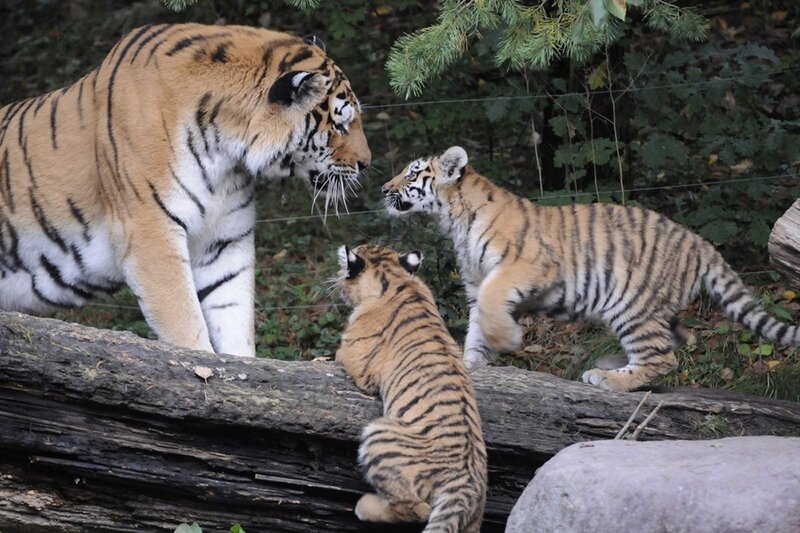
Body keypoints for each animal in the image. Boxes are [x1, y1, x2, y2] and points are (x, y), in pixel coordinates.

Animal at [0, 23, 370, 357]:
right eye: (341, 124)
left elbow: (234, 318)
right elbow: (184, 322)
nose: (366, 163)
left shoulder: (225, 240)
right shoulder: (150, 234)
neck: (225, 154)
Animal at [335, 243, 487, 532]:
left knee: (417, 508)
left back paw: (364, 506)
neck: (395, 277)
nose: (336, 283)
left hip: (380, 435)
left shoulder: (355, 359)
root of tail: (467, 487)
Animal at [381, 146, 800, 392]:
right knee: (679, 338)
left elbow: (491, 304)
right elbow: (477, 321)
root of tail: (700, 243)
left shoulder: (525, 266)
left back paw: (607, 377)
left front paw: (505, 341)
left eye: (412, 173)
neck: (453, 221)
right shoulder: (476, 281)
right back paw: (611, 364)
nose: (384, 189)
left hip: (632, 303)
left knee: (662, 356)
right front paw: (472, 362)